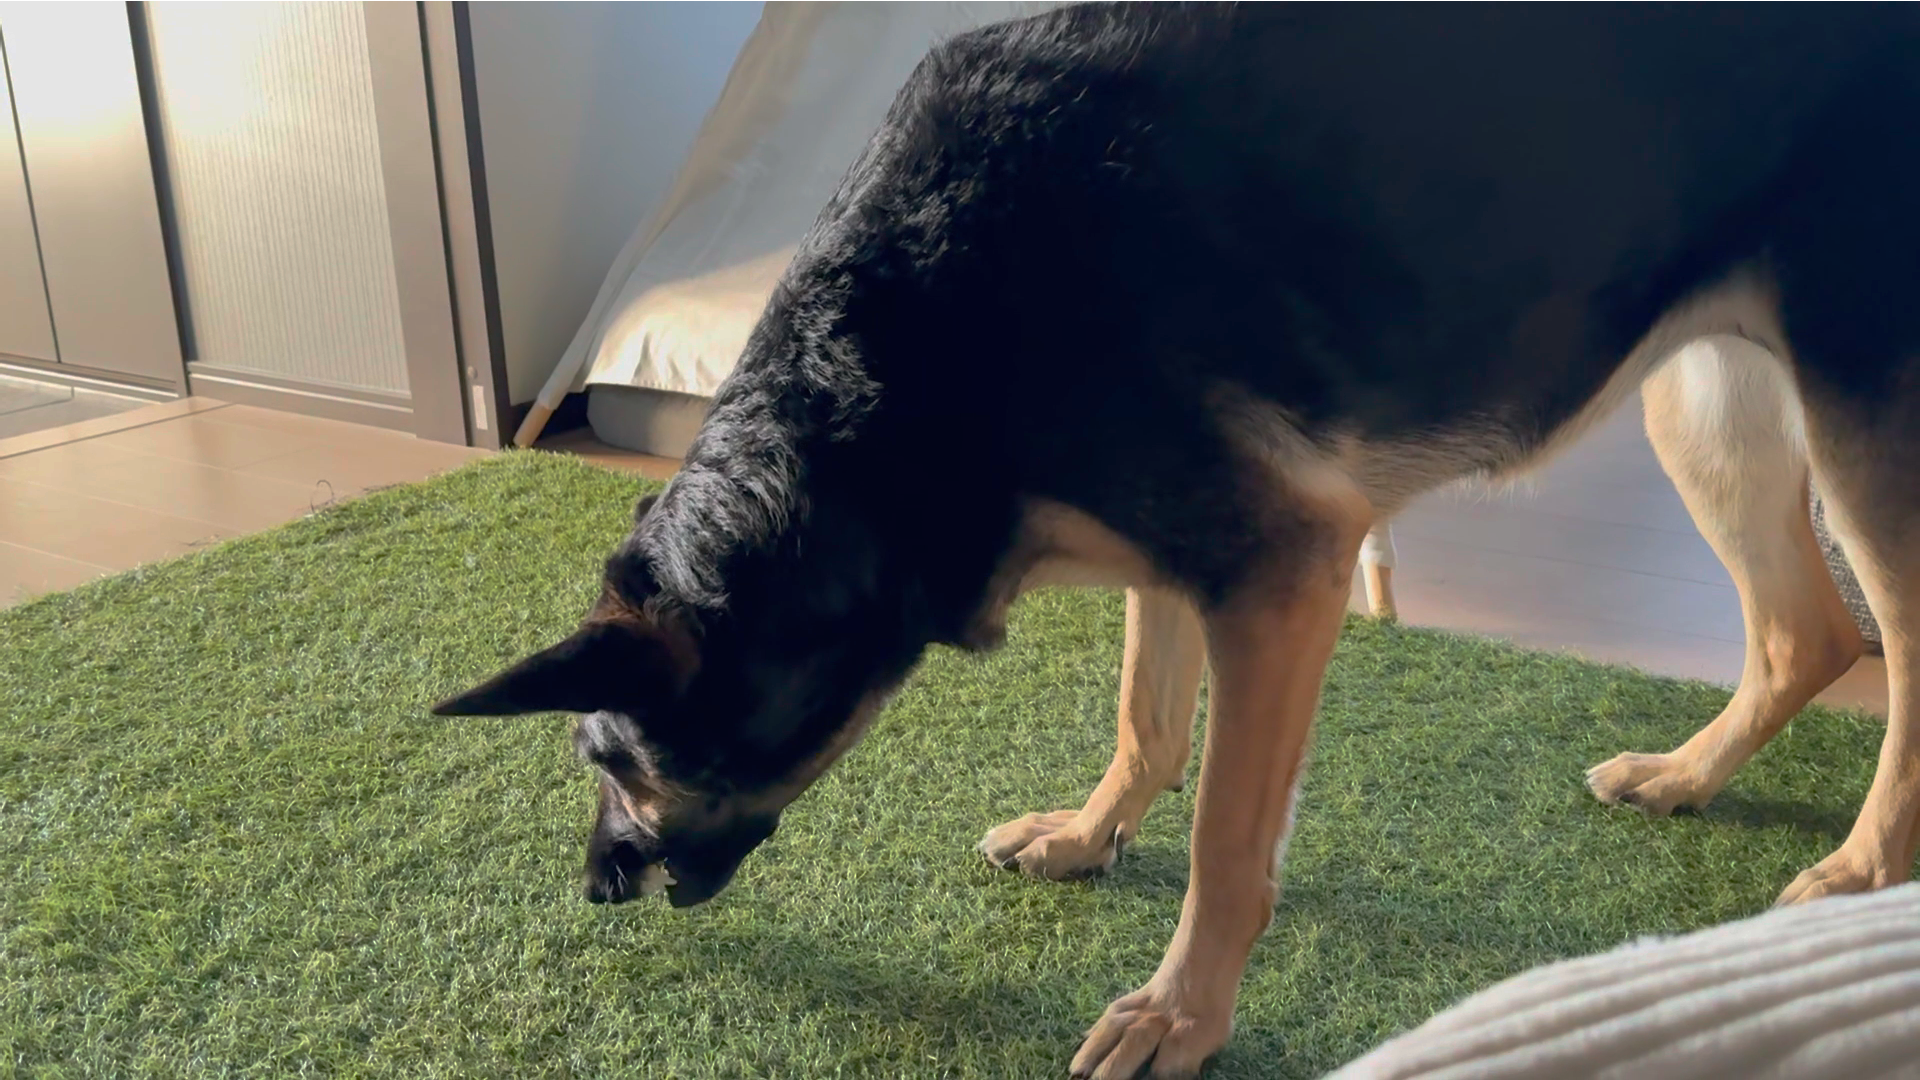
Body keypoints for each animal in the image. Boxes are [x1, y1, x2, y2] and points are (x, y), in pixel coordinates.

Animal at [434, 3, 1920, 1075]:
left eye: (611, 762)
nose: (596, 889)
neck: (884, 376)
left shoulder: (1283, 571)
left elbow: (1223, 844)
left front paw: (1179, 1015)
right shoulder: (1183, 566)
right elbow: (1146, 721)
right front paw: (1091, 839)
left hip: (1858, 433)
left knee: (1885, 648)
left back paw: (1860, 872)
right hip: (1709, 401)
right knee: (1808, 632)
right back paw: (1688, 776)